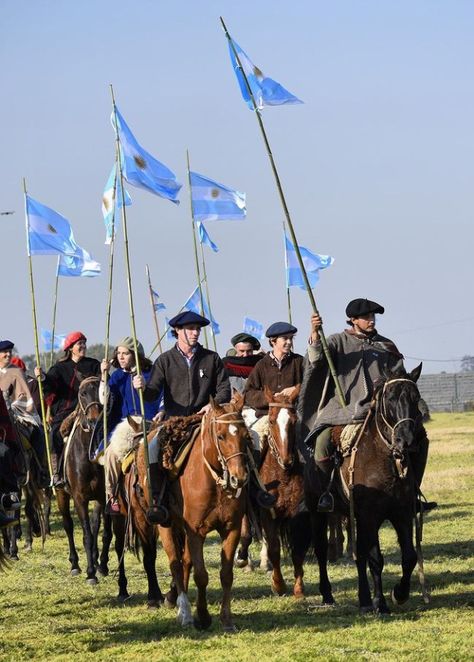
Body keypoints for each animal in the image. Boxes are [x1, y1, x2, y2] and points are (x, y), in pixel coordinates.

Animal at [56, 378, 112, 588]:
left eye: (104, 392)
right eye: (82, 393)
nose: (95, 420)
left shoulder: (103, 497)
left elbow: (104, 532)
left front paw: (102, 565)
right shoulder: (79, 498)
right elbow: (87, 535)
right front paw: (90, 574)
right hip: (62, 495)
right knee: (68, 525)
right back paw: (75, 564)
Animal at [304, 366, 426, 616]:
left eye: (415, 397)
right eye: (390, 398)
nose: (406, 440)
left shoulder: (400, 513)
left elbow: (409, 557)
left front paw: (398, 594)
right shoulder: (370, 516)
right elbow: (376, 559)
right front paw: (380, 602)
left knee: (359, 555)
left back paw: (364, 598)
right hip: (316, 511)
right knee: (322, 550)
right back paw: (329, 594)